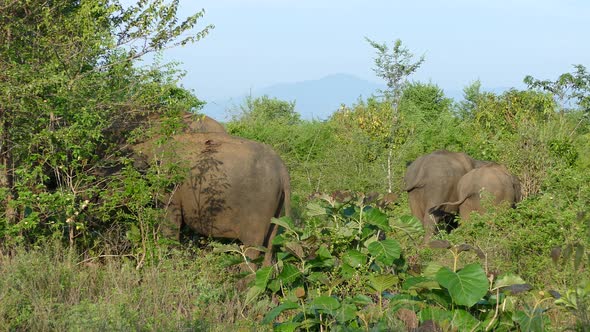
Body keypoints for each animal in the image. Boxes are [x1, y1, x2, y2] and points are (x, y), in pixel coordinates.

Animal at [134, 131, 292, 266]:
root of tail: (282, 169)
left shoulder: (168, 185)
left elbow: (169, 224)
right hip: (277, 207)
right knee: (270, 244)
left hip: (259, 205)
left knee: (252, 247)